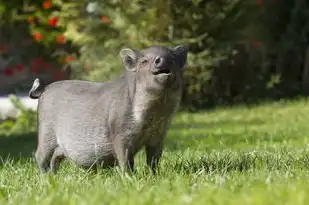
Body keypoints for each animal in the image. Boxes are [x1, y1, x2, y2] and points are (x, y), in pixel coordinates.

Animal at [28, 44, 188, 173]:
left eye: (172, 58)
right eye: (144, 61)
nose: (162, 59)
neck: (154, 114)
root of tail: (44, 89)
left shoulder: (158, 135)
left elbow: (153, 160)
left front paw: (154, 175)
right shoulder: (120, 134)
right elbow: (125, 160)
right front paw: (129, 177)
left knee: (55, 159)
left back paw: (53, 176)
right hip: (45, 133)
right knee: (39, 156)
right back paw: (45, 177)